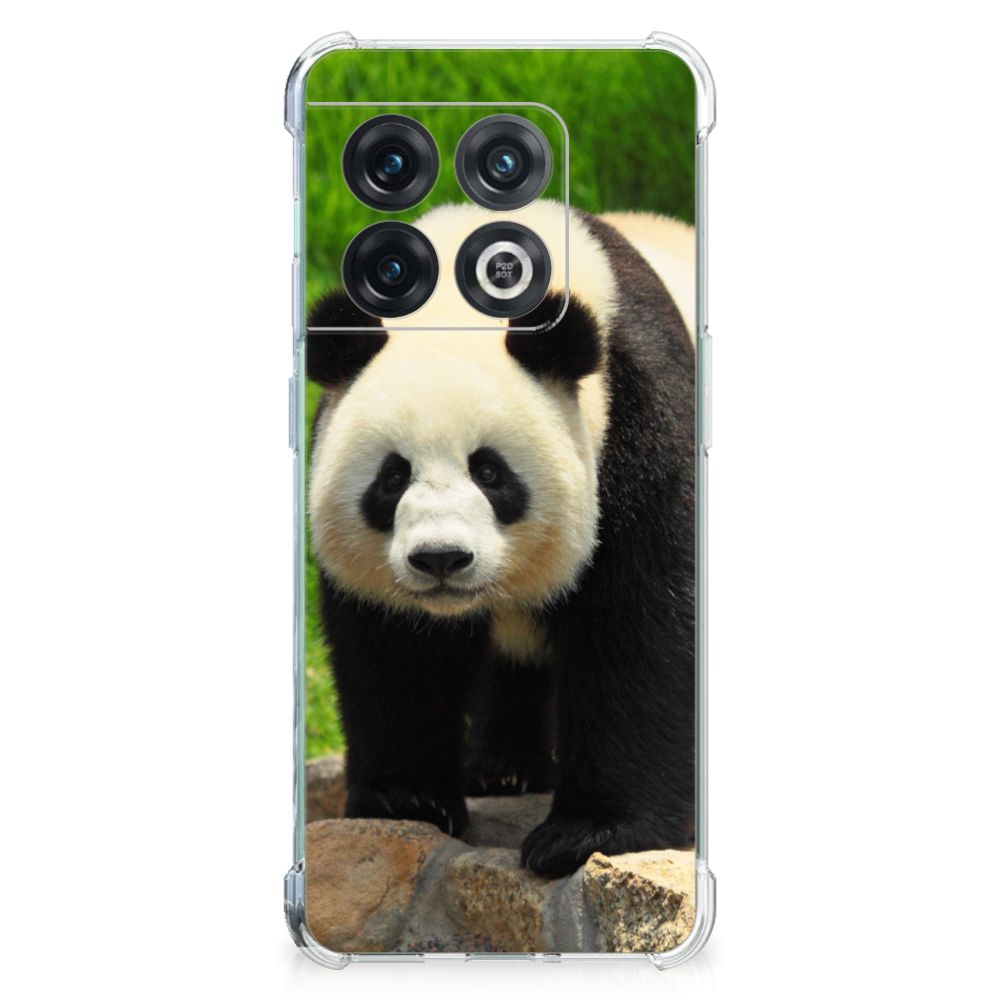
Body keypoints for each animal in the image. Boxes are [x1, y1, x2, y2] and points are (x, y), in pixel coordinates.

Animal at [307, 200, 696, 878]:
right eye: (392, 477)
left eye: (489, 472)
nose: (441, 559)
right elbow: (394, 651)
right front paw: (408, 800)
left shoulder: (640, 422)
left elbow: (641, 626)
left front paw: (588, 833)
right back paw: (504, 770)